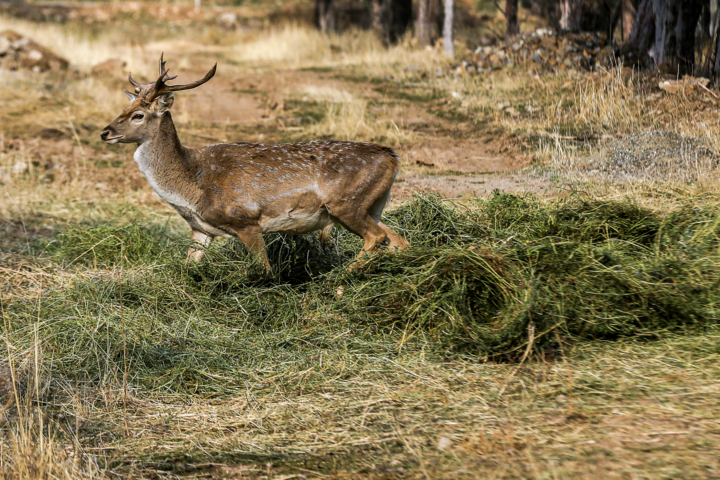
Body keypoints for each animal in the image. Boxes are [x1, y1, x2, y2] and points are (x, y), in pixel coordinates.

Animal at [98, 55, 408, 270]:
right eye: (123, 108)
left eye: (138, 115)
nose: (105, 132)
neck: (193, 184)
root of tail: (392, 157)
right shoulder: (201, 229)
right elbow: (187, 268)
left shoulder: (246, 220)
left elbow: (264, 269)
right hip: (372, 205)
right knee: (397, 239)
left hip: (346, 203)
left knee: (376, 237)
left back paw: (339, 281)